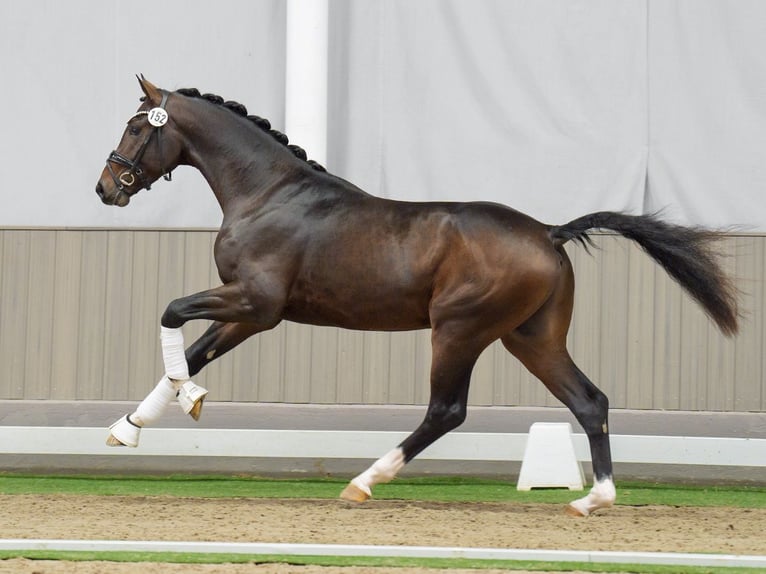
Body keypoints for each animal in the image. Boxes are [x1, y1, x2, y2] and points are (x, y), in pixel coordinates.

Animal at [94, 77, 736, 516]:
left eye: (136, 127)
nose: (105, 188)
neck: (268, 194)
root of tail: (548, 232)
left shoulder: (256, 304)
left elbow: (172, 315)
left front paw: (187, 400)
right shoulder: (248, 313)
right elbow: (193, 351)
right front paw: (129, 427)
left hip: (460, 330)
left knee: (446, 411)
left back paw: (364, 482)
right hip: (530, 337)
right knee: (590, 401)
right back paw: (592, 501)